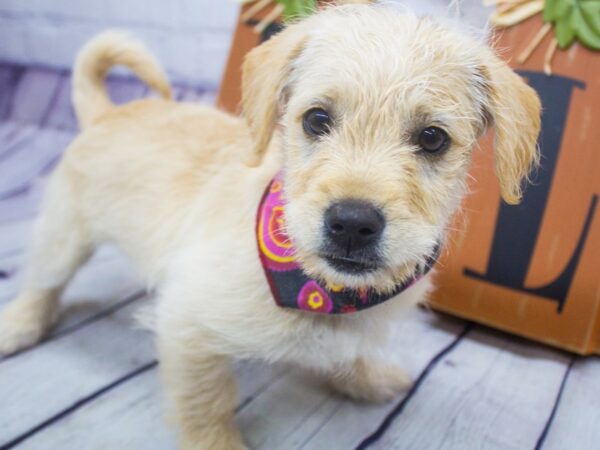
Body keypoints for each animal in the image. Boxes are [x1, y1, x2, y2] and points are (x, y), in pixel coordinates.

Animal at [0, 4, 540, 450]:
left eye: (432, 138)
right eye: (316, 119)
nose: (351, 223)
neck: (318, 289)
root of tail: (107, 113)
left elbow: (352, 351)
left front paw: (367, 378)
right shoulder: (187, 326)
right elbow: (207, 404)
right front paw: (217, 444)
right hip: (63, 236)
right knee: (41, 285)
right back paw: (18, 327)